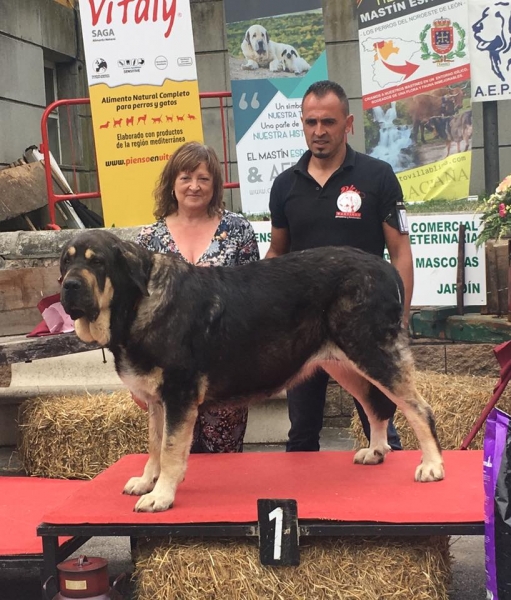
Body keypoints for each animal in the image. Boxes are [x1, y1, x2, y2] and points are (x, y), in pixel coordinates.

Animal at [59, 230, 444, 510]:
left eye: (97, 263)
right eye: (66, 261)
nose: (69, 285)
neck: (136, 304)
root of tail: (385, 268)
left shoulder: (179, 395)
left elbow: (169, 449)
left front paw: (161, 495)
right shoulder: (156, 400)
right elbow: (154, 445)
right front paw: (147, 481)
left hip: (371, 352)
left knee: (418, 408)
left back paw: (432, 465)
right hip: (344, 362)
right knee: (376, 405)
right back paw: (376, 450)